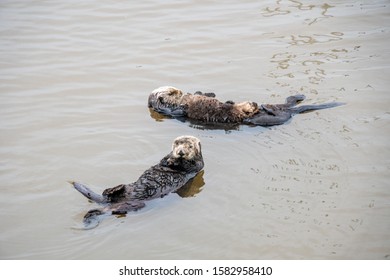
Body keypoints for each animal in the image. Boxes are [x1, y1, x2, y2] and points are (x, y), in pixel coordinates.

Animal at [71, 136, 204, 228]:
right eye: (177, 145)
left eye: (190, 146)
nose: (180, 152)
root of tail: (108, 202)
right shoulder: (164, 158)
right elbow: (163, 160)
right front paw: (171, 159)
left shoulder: (198, 165)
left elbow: (190, 165)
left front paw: (177, 161)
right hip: (123, 194)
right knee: (107, 194)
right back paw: (114, 189)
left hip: (134, 204)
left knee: (112, 210)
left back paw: (93, 212)